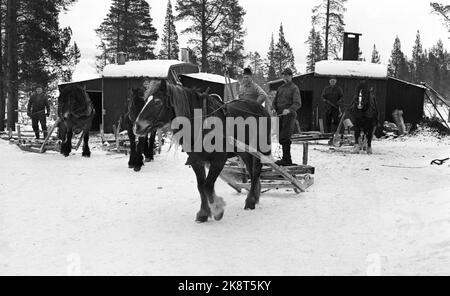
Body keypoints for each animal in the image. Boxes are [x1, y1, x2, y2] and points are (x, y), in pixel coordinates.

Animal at [134, 78, 270, 222]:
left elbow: (208, 185)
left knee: (256, 171)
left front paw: (217, 209)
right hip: (244, 151)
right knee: (251, 170)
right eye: (145, 100)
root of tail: (260, 107)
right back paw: (254, 197)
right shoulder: (196, 160)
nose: (137, 126)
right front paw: (204, 213)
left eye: (157, 102)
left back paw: (250, 202)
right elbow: (201, 186)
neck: (203, 123)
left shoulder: (218, 160)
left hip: (260, 147)